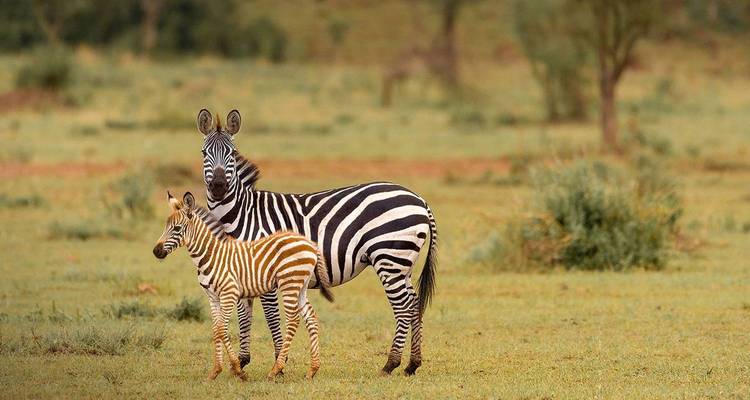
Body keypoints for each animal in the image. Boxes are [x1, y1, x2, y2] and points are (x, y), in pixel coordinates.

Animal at [152, 191, 335, 381]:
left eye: (177, 229)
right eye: (166, 227)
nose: (156, 251)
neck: (211, 255)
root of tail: (310, 244)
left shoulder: (229, 293)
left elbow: (222, 329)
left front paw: (238, 369)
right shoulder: (213, 297)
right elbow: (216, 330)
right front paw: (215, 371)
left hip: (289, 283)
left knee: (293, 319)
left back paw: (276, 369)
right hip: (301, 285)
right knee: (310, 317)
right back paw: (312, 369)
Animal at [194, 109, 438, 376]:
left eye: (231, 154)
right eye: (204, 153)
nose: (218, 187)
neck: (242, 214)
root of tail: (419, 199)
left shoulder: (264, 272)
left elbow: (271, 317)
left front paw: (278, 363)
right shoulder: (240, 270)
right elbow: (244, 314)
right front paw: (242, 361)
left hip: (389, 258)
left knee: (403, 307)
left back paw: (391, 363)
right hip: (403, 262)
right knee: (414, 303)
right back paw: (412, 363)